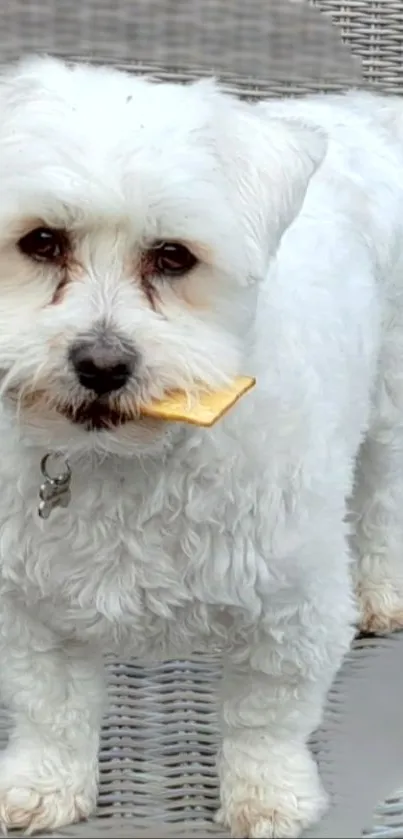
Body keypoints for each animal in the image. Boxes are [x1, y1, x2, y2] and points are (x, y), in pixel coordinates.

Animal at [0, 55, 403, 836]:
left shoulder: (294, 604)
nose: (101, 364)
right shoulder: (27, 605)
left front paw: (270, 798)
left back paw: (382, 588)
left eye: (172, 257)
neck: (134, 457)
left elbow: (266, 713)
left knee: (382, 499)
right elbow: (50, 706)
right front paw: (43, 786)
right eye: (40, 241)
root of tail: (363, 108)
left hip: (392, 400)